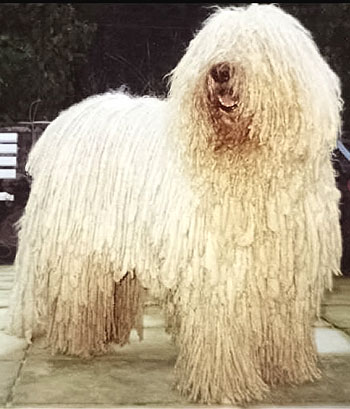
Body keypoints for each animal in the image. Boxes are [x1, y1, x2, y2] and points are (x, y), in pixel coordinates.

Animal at [7, 3, 342, 404]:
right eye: (212, 46)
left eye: (259, 47)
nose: (220, 70)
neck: (245, 159)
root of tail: (64, 122)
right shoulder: (216, 270)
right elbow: (220, 331)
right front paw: (224, 385)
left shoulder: (288, 272)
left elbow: (283, 327)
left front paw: (287, 371)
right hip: (77, 249)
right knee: (77, 297)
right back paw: (78, 342)